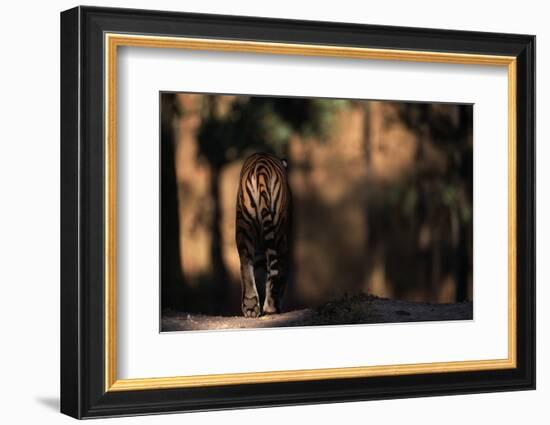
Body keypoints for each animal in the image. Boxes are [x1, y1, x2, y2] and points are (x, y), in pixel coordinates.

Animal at [235, 152, 294, 314]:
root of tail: (261, 169)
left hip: (244, 226)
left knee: (245, 261)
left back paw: (250, 306)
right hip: (278, 231)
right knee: (275, 266)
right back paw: (271, 306)